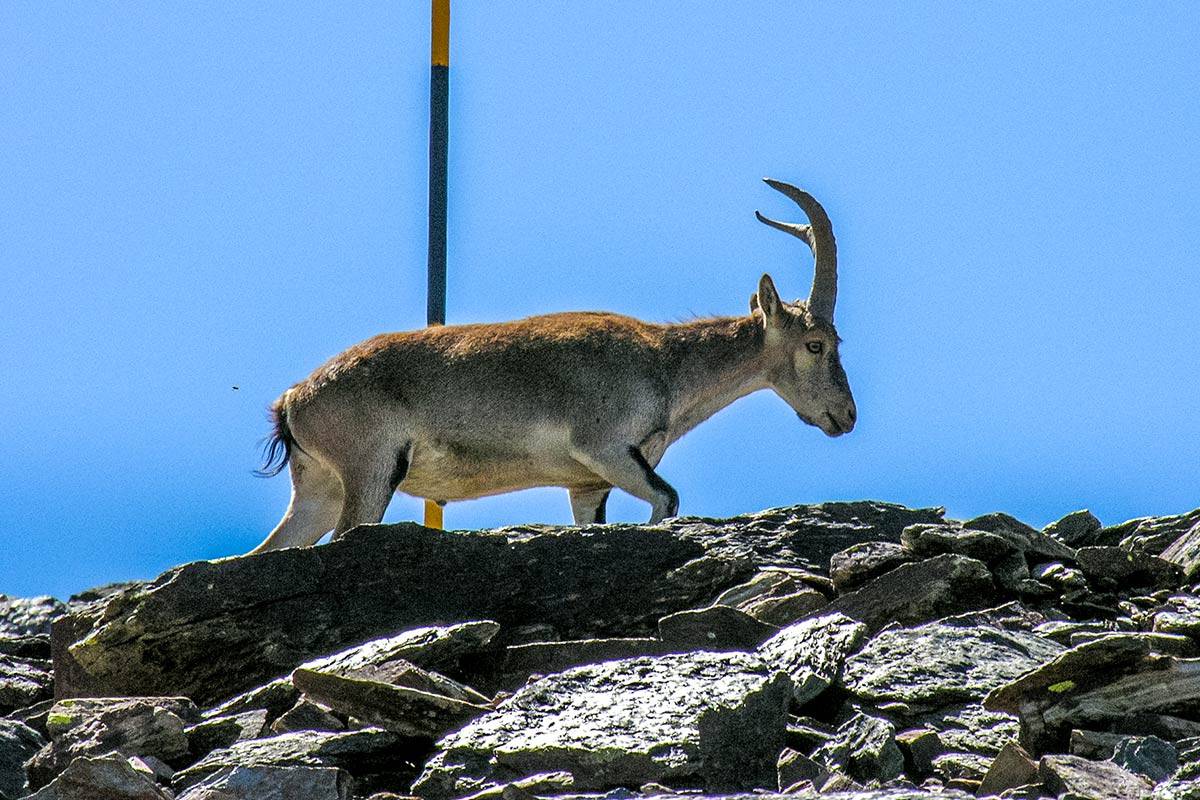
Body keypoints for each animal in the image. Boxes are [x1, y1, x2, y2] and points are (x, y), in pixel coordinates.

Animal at [250, 179, 856, 552]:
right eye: (817, 344)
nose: (846, 417)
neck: (666, 366)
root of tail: (293, 400)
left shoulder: (588, 484)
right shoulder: (606, 447)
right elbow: (668, 500)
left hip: (320, 489)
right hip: (372, 470)